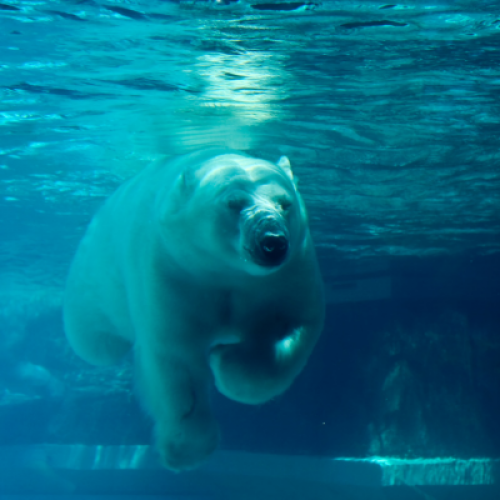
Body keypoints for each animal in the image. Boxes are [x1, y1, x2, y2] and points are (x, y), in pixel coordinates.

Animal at [63, 149, 324, 472]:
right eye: (233, 203)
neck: (226, 271)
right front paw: (184, 451)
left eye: (284, 203)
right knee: (95, 342)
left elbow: (294, 326)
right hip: (94, 277)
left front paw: (226, 361)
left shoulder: (289, 274)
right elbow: (175, 361)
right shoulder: (172, 270)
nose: (272, 242)